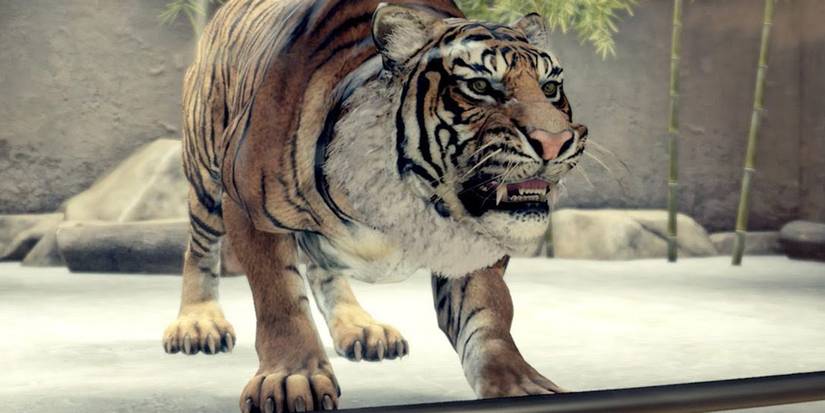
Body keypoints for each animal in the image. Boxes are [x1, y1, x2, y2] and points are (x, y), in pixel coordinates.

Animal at [162, 0, 588, 411]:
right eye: (480, 85)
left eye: (550, 87)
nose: (556, 142)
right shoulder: (247, 208)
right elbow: (280, 300)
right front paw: (291, 377)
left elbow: (488, 311)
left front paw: (519, 382)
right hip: (205, 175)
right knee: (199, 248)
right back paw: (197, 324)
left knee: (322, 268)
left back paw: (360, 327)